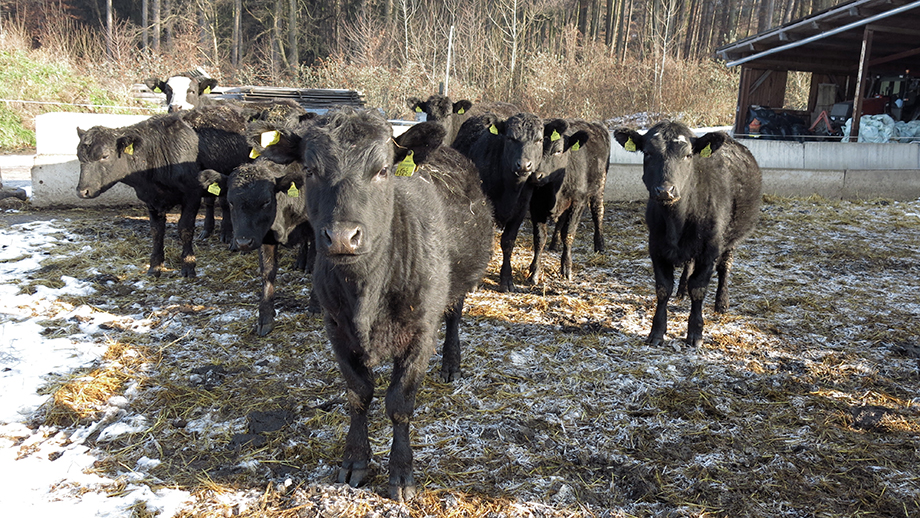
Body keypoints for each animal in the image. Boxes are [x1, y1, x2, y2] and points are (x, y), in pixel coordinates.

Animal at [76, 103, 252, 278]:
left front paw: (188, 265)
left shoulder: (192, 195)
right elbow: (156, 231)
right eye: (79, 156)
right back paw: (208, 231)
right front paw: (155, 266)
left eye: (104, 156)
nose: (82, 191)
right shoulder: (151, 199)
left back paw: (230, 238)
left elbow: (185, 228)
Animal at [252, 110, 496, 504]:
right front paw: (355, 460)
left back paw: (451, 363)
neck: (366, 292)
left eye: (383, 170)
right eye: (310, 170)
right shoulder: (336, 329)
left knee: (455, 317)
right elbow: (359, 394)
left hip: (460, 280)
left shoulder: (420, 333)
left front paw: (401, 473)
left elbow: (399, 404)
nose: (342, 237)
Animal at [620, 121, 760, 348]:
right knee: (688, 265)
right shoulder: (656, 246)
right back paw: (681, 291)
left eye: (687, 155)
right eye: (647, 153)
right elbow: (663, 288)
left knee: (725, 266)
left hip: (731, 239)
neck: (676, 221)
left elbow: (699, 289)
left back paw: (722, 302)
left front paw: (695, 333)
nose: (665, 190)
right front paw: (657, 331)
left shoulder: (709, 250)